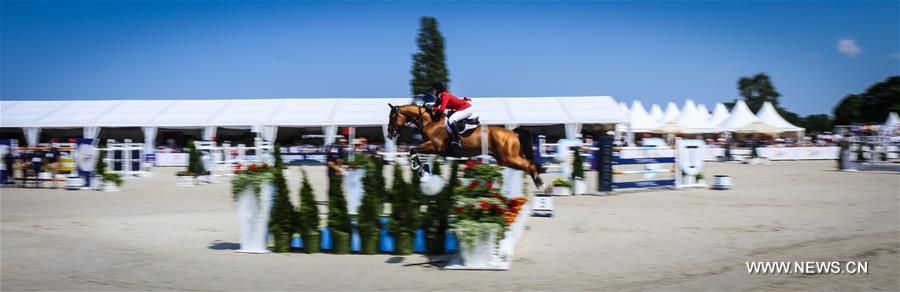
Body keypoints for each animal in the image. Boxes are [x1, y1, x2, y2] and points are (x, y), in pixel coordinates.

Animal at [384, 104, 544, 188]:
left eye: (392, 117)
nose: (389, 134)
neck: (429, 121)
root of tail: (512, 133)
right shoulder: (432, 148)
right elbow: (415, 151)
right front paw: (421, 169)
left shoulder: (435, 146)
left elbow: (412, 150)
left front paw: (417, 167)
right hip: (508, 158)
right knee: (529, 164)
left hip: (508, 158)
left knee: (529, 165)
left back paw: (541, 185)